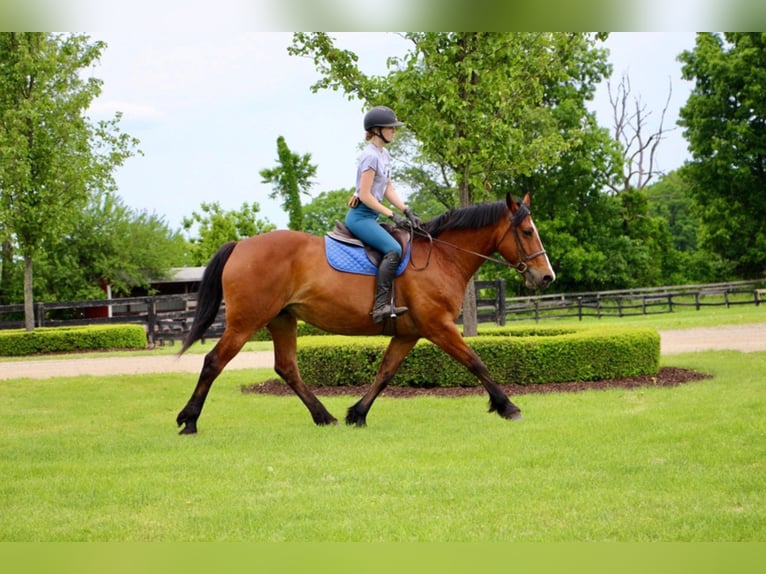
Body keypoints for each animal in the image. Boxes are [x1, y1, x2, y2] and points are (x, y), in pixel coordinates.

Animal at [177, 191, 556, 434]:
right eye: (527, 231)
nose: (546, 277)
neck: (442, 256)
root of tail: (240, 245)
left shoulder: (408, 333)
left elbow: (385, 373)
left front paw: (357, 413)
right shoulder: (439, 327)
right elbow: (476, 362)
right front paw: (508, 406)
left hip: (282, 320)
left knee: (286, 368)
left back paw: (324, 417)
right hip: (245, 323)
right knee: (214, 361)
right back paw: (189, 420)